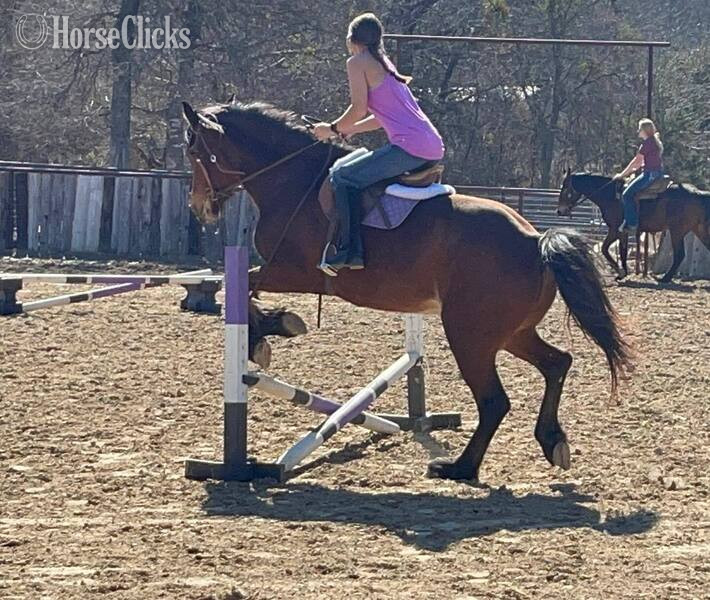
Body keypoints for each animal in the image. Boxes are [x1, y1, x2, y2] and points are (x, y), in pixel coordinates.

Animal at [181, 99, 632, 482]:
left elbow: (242, 287)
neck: (292, 180)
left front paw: (266, 335)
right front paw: (274, 328)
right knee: (557, 363)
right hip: (510, 333)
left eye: (193, 152)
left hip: (471, 336)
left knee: (494, 401)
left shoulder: (296, 271)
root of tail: (535, 240)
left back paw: (460, 468)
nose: (198, 207)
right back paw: (552, 441)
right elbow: (243, 289)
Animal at [558, 170, 710, 282]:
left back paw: (665, 278)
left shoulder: (615, 229)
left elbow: (607, 249)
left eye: (564, 188)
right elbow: (622, 250)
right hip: (698, 230)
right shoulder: (622, 232)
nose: (560, 211)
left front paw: (621, 272)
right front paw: (623, 272)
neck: (610, 195)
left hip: (676, 231)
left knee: (679, 254)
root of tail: (697, 193)